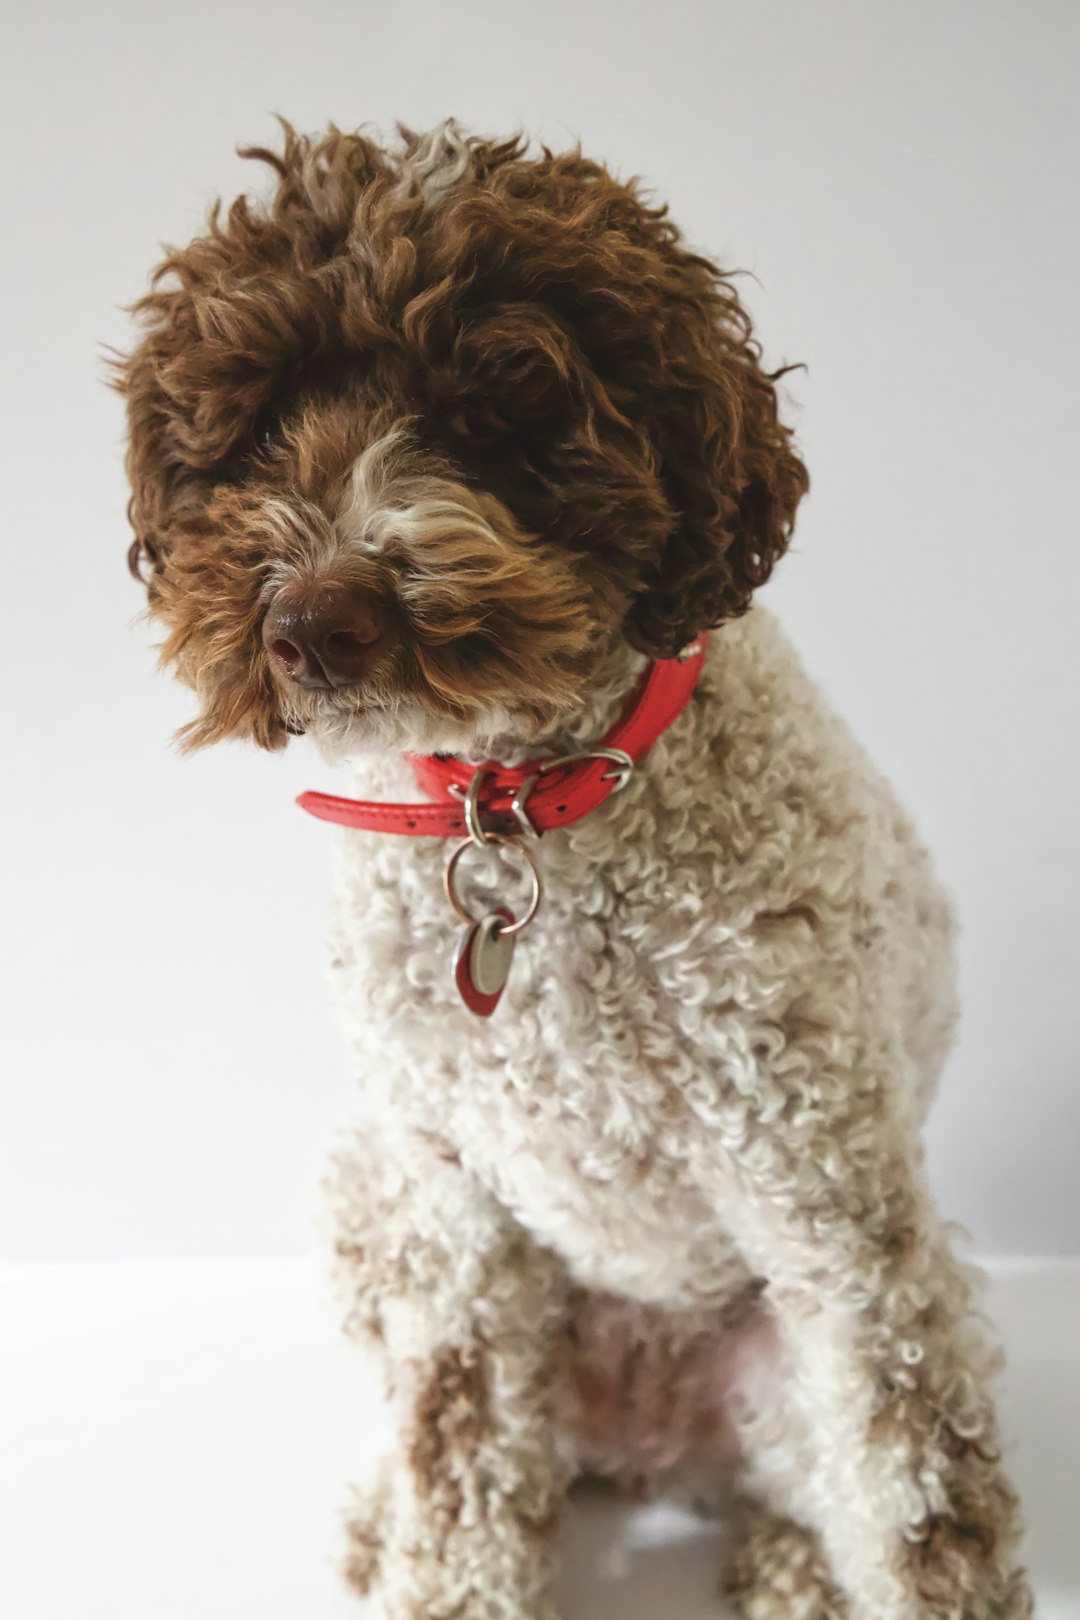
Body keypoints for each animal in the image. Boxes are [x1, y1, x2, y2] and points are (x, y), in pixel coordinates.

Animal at [120, 117, 1029, 1620]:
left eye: (496, 414)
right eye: (252, 428)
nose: (317, 620)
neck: (522, 811)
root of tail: (645, 1434)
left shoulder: (835, 1205)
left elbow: (920, 1507)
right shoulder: (452, 1216)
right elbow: (460, 1464)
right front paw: (435, 1566)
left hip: (817, 1333)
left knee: (825, 1478)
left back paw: (795, 1566)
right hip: (366, 1196)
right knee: (479, 1446)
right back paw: (384, 1522)